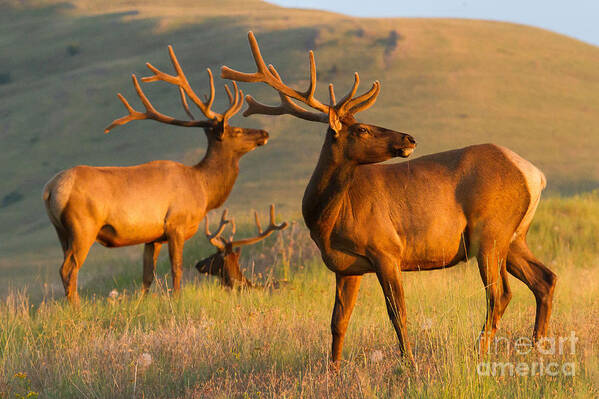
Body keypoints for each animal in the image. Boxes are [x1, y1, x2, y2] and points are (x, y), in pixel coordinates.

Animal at [45, 45, 270, 304]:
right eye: (238, 131)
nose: (264, 132)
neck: (203, 189)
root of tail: (50, 190)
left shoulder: (152, 236)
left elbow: (147, 276)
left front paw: (141, 303)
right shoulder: (176, 224)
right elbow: (176, 268)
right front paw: (177, 299)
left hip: (61, 231)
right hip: (83, 226)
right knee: (69, 268)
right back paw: (76, 308)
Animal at [223, 31, 560, 368]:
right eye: (362, 128)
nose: (409, 138)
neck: (327, 220)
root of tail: (534, 174)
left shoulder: (386, 249)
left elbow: (397, 313)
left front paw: (409, 364)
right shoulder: (347, 267)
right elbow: (338, 322)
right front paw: (334, 370)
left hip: (490, 233)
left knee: (500, 293)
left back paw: (479, 353)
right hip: (513, 237)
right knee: (545, 278)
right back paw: (536, 349)